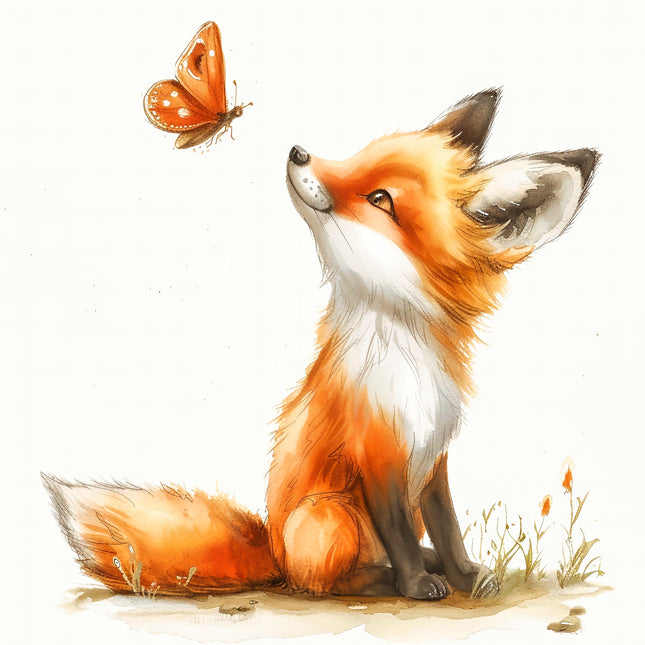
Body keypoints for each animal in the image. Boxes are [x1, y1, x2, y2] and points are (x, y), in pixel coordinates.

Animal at [43, 88, 597, 601]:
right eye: (358, 156)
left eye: (380, 199)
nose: (298, 151)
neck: (405, 365)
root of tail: (274, 552)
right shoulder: (375, 455)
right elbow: (397, 531)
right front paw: (418, 586)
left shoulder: (434, 458)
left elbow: (448, 528)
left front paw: (463, 575)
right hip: (331, 514)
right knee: (324, 582)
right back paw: (387, 581)